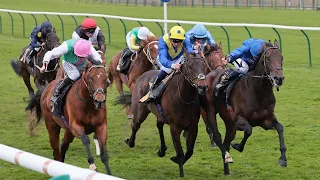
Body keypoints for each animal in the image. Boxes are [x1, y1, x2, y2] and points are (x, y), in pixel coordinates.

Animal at [201, 39, 286, 174]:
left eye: (281, 57)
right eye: (267, 58)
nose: (279, 78)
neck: (258, 92)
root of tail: (210, 74)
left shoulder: (266, 120)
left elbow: (280, 128)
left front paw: (283, 159)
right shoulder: (238, 119)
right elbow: (248, 130)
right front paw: (237, 146)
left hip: (229, 123)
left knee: (226, 142)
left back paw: (227, 171)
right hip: (210, 112)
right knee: (217, 136)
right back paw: (227, 156)